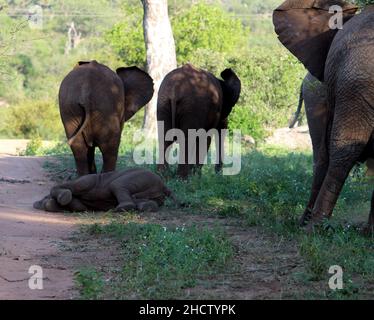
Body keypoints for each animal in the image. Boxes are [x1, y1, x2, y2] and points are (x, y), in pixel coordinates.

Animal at [32, 168, 179, 212]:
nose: (35, 204)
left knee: (117, 184)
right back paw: (147, 207)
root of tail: (163, 185)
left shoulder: (87, 181)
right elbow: (79, 206)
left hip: (142, 175)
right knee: (141, 199)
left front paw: (60, 198)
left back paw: (122, 208)